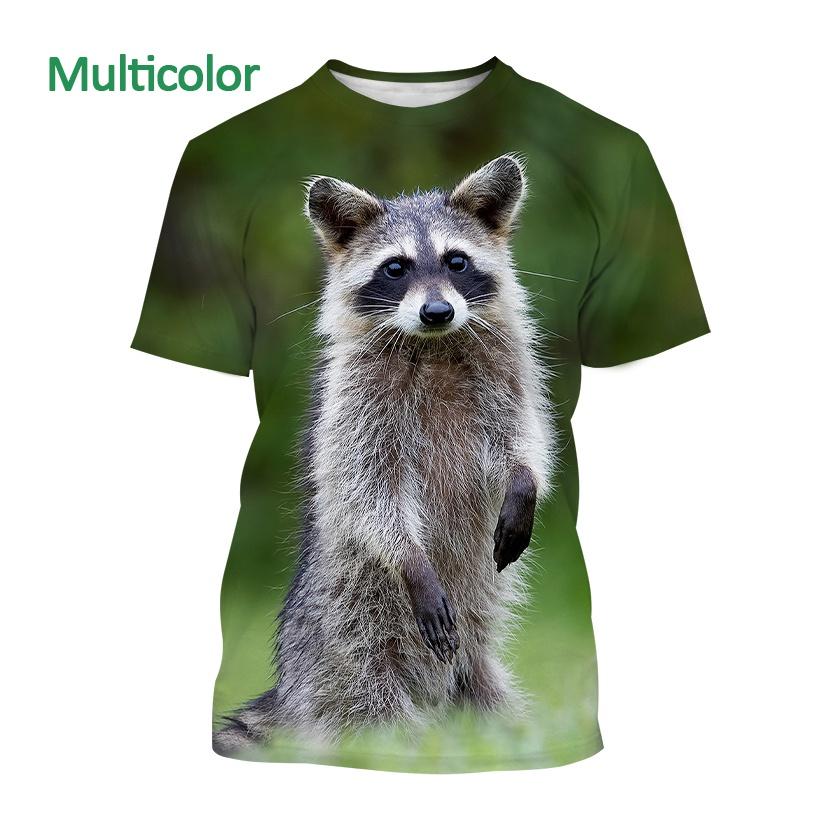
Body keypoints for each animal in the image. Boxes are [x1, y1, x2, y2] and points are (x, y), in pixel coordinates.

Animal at [213, 155, 554, 755]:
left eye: (456, 261)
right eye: (396, 268)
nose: (438, 311)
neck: (434, 344)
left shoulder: (508, 370)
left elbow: (525, 436)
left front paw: (524, 480)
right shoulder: (355, 402)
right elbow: (368, 488)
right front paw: (410, 558)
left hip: (472, 662)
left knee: (492, 698)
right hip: (349, 629)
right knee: (368, 699)